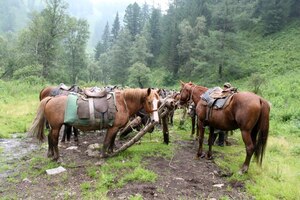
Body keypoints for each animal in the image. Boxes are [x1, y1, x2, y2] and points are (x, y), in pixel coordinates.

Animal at [30, 88, 161, 160]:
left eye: (158, 102)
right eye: (149, 102)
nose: (155, 120)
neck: (122, 103)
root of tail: (51, 99)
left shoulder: (115, 127)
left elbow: (112, 141)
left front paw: (111, 152)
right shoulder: (113, 127)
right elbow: (107, 141)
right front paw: (104, 155)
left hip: (54, 127)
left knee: (49, 137)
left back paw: (50, 154)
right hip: (56, 127)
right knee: (53, 139)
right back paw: (57, 157)